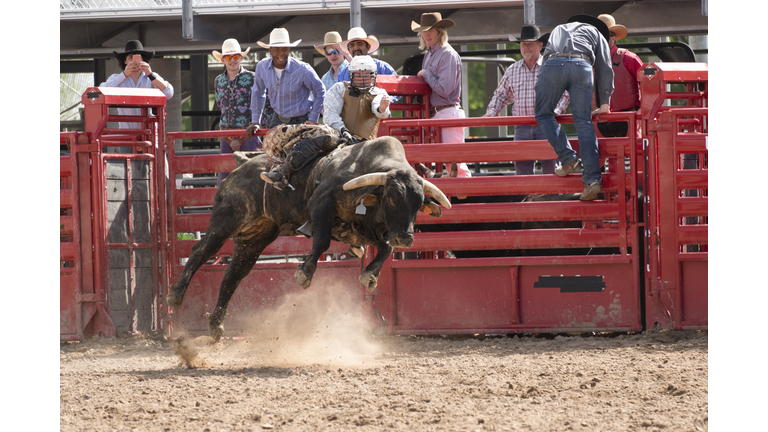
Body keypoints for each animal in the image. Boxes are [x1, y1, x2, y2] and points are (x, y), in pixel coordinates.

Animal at [166, 125, 450, 340]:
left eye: (418, 203)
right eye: (391, 198)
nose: (406, 238)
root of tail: (241, 165)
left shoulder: (365, 230)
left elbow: (385, 248)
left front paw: (370, 275)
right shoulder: (321, 204)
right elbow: (321, 241)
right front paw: (304, 272)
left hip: (254, 238)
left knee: (234, 274)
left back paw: (216, 325)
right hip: (227, 218)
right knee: (202, 251)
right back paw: (175, 295)